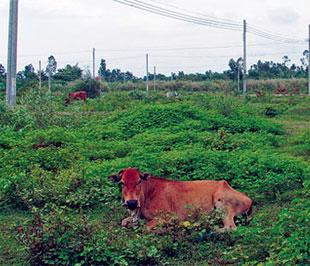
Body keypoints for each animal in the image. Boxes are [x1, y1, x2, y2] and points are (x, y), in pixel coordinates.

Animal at [108, 168, 252, 231]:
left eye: (139, 181)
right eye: (122, 183)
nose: (131, 202)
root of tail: (249, 199)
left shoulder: (168, 217)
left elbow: (147, 228)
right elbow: (123, 222)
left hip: (223, 206)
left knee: (230, 227)